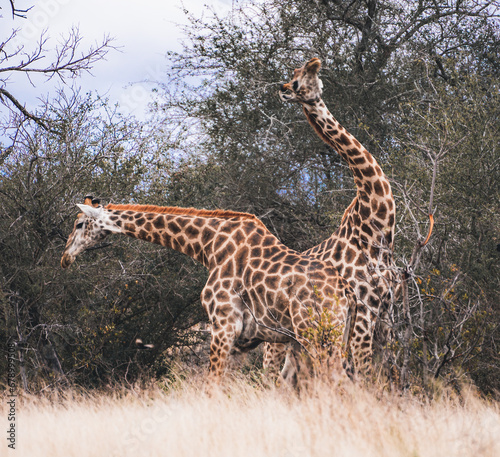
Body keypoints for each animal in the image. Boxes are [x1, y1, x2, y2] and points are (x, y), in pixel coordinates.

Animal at [61, 194, 356, 382]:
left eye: (78, 224)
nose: (65, 259)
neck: (208, 245)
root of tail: (346, 292)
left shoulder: (224, 325)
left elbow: (211, 386)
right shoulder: (243, 339)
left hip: (317, 335)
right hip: (330, 338)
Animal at [262, 58, 398, 378]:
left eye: (304, 76)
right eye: (296, 78)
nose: (283, 89)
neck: (377, 228)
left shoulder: (387, 313)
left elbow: (391, 377)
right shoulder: (363, 312)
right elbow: (364, 374)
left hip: (298, 339)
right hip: (278, 338)